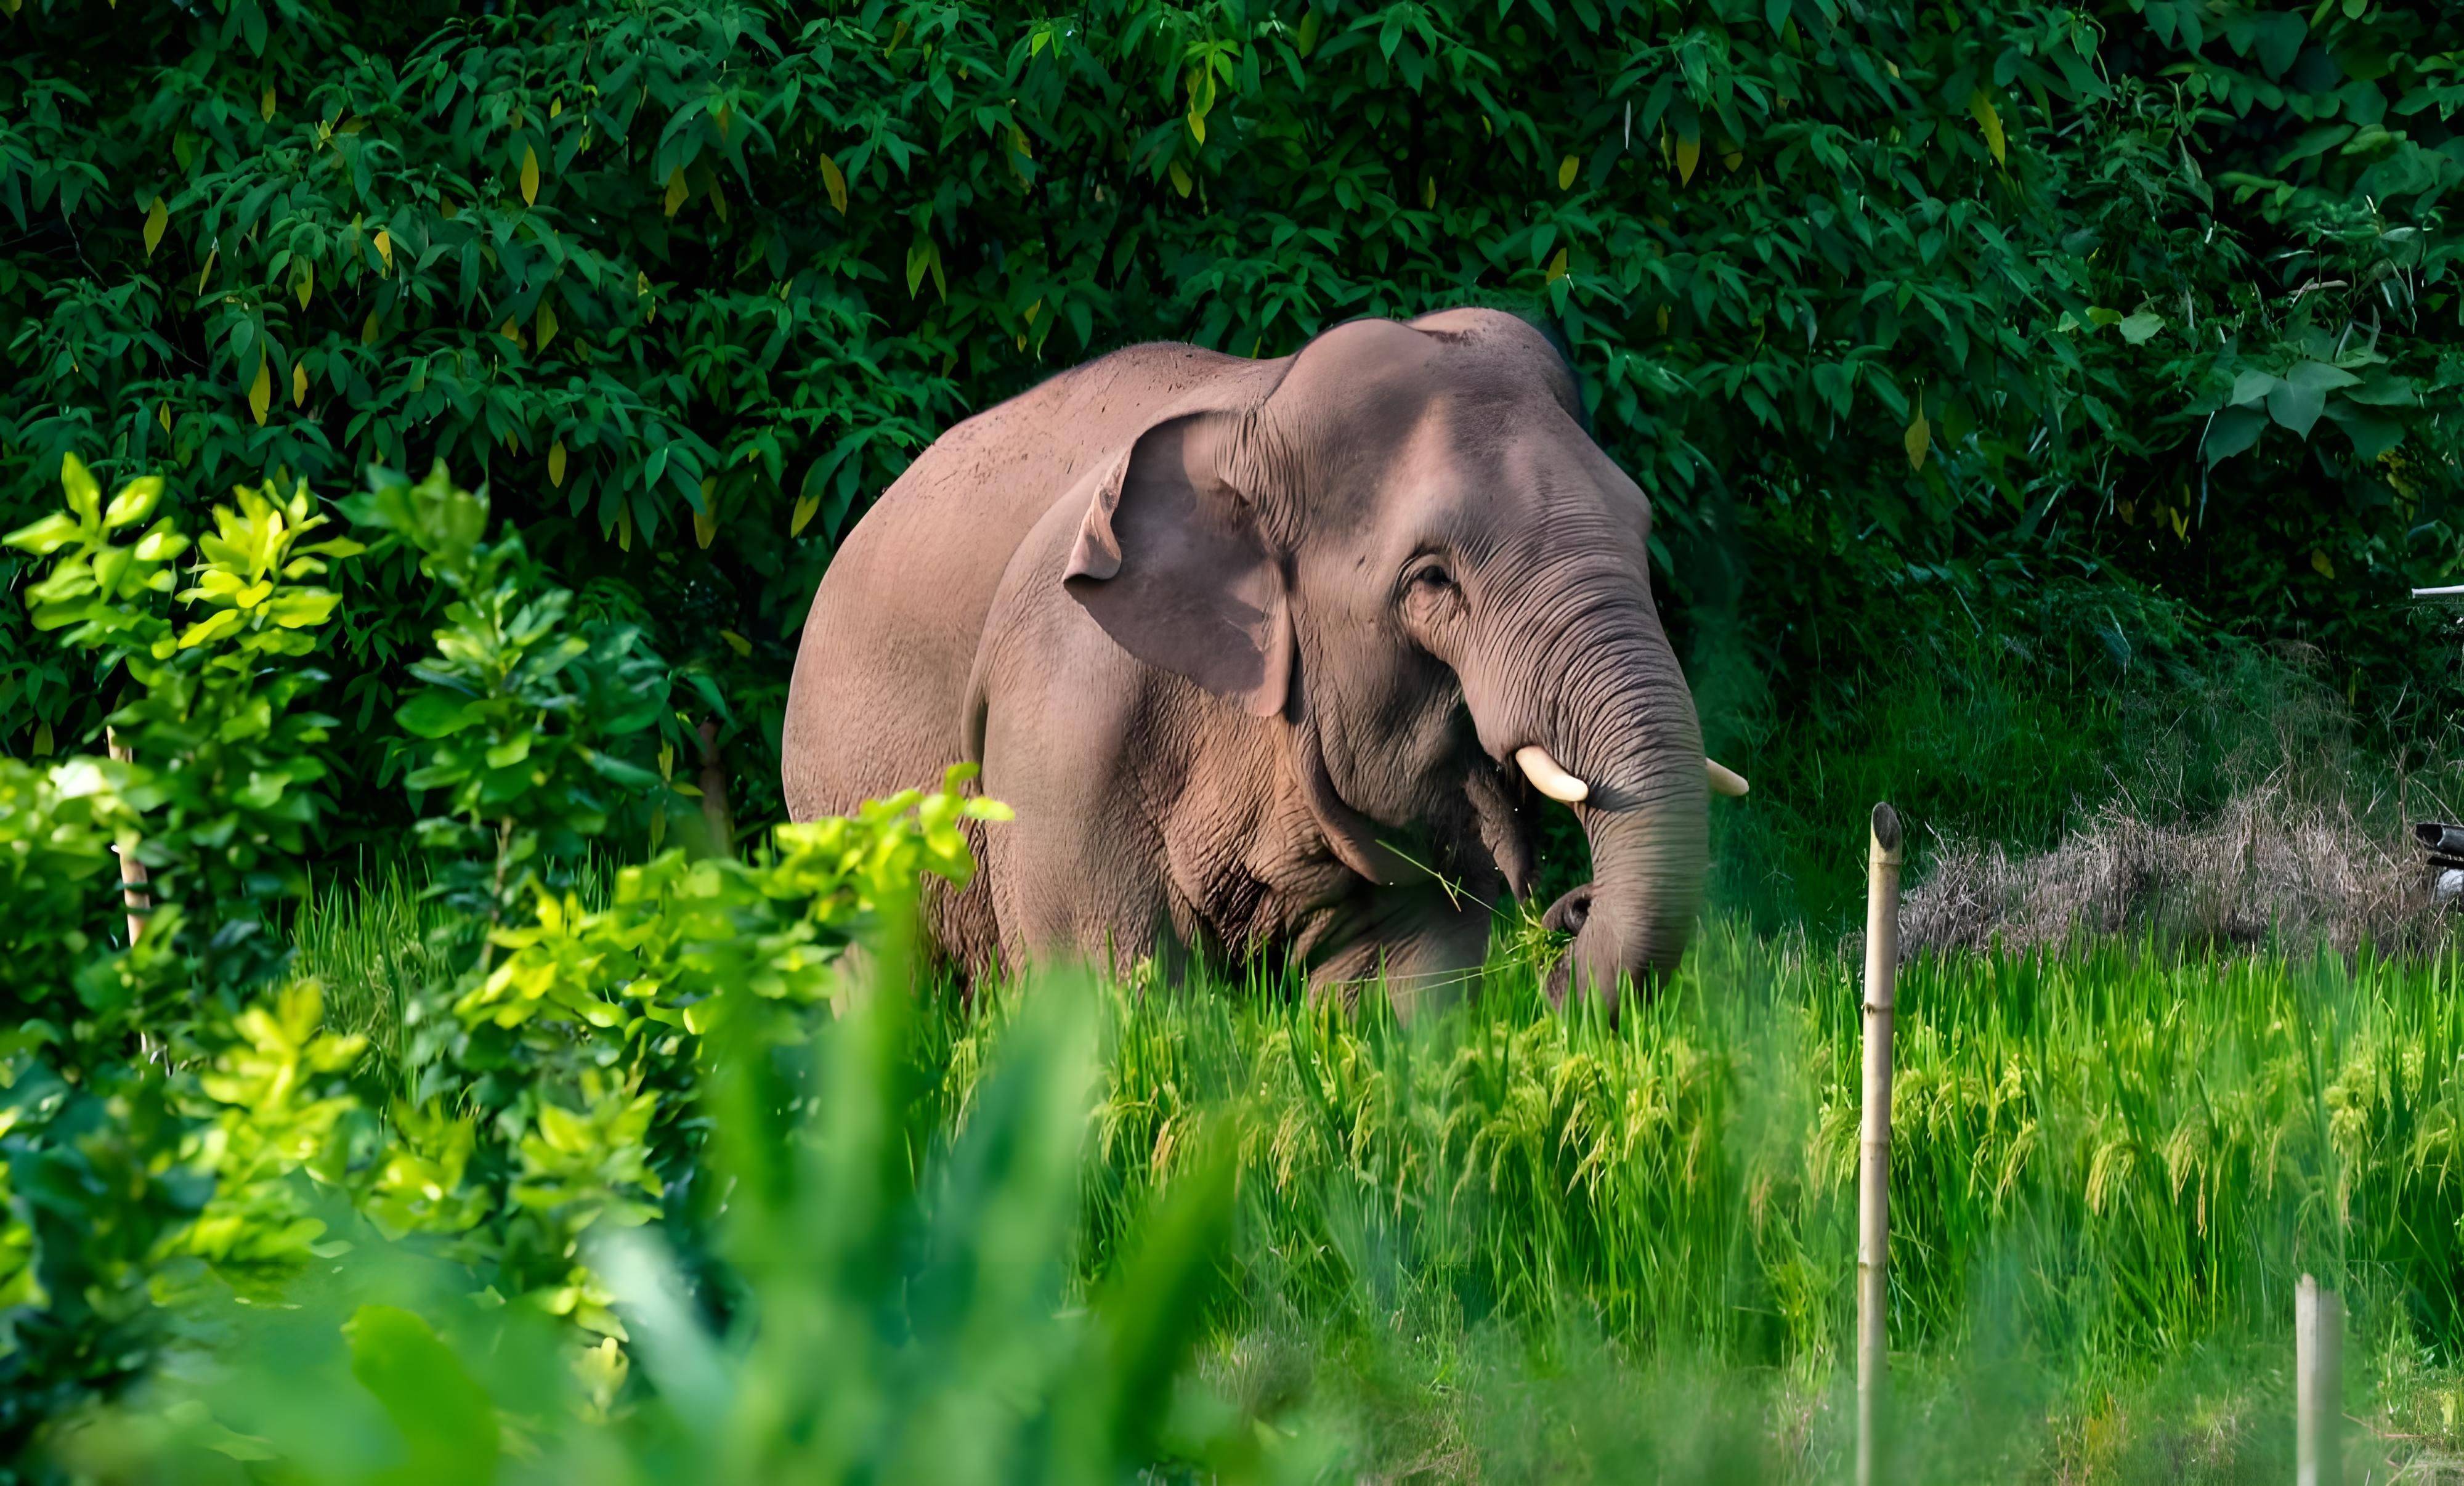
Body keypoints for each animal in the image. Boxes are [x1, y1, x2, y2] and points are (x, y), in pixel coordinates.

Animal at [779, 307, 1745, 1015]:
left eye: (1641, 528)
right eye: (1433, 579)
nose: (1566, 917)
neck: (1259, 415)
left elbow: (1404, 981)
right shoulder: (1065, 720)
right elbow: (1106, 987)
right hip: (842, 813)